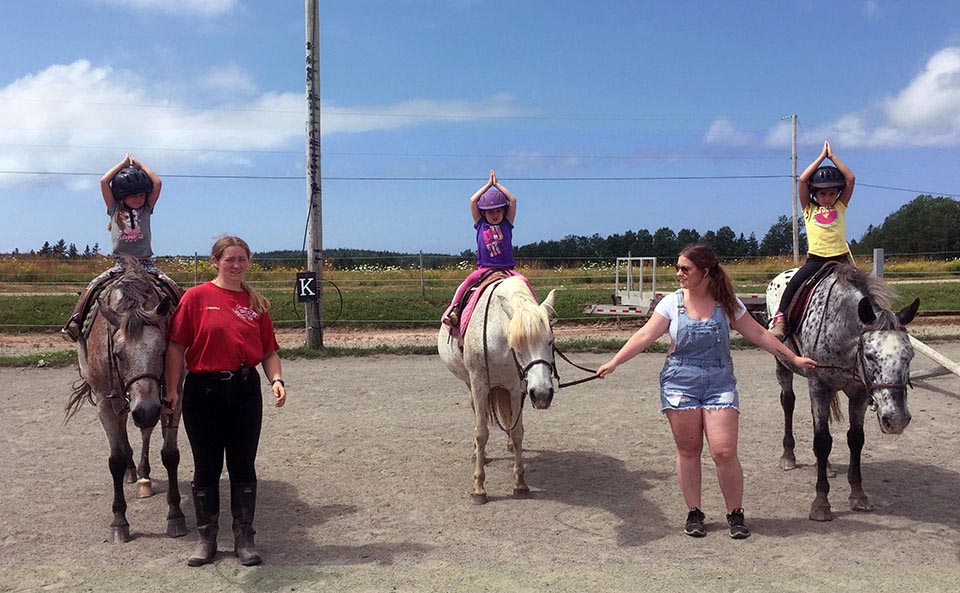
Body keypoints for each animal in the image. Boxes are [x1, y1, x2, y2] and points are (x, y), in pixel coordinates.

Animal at [65, 260, 186, 540]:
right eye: (118, 354)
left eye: (163, 350)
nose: (146, 411)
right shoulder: (105, 401)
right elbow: (116, 459)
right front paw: (119, 521)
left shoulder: (173, 395)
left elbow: (170, 454)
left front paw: (175, 514)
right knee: (123, 432)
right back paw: (133, 471)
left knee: (145, 432)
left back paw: (143, 476)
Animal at [438, 276, 560, 502]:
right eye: (517, 344)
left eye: (550, 341)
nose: (542, 394)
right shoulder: (478, 384)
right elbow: (481, 433)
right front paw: (479, 488)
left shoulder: (516, 387)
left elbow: (518, 431)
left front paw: (520, 483)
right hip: (470, 383)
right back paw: (478, 454)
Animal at [768, 264, 920, 520]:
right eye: (869, 355)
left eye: (910, 355)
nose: (897, 420)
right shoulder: (819, 385)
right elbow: (822, 441)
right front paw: (821, 503)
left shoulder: (858, 393)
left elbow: (855, 439)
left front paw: (858, 495)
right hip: (784, 367)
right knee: (788, 403)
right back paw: (788, 456)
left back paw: (826, 467)